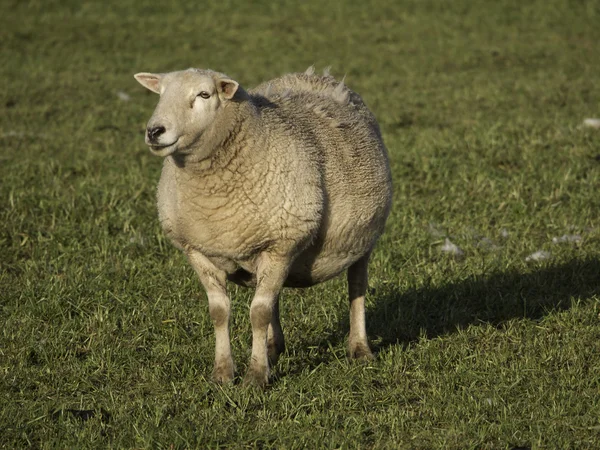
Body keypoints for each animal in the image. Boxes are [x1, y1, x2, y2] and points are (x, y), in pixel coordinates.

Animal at [133, 67, 392, 386]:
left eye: (204, 94)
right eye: (161, 93)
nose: (154, 131)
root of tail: (316, 76)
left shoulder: (281, 245)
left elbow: (258, 313)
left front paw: (255, 377)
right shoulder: (198, 250)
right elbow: (220, 312)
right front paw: (223, 373)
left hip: (364, 238)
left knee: (356, 288)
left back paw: (359, 348)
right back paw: (272, 347)